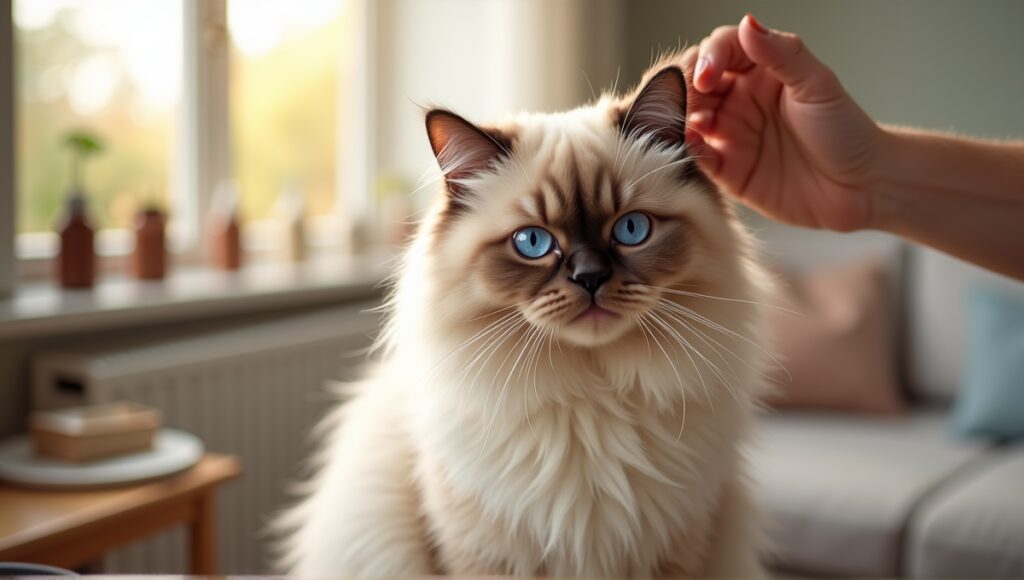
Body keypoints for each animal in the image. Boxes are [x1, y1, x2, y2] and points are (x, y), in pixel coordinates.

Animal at [276, 53, 770, 577]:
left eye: (632, 230)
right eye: (532, 242)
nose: (590, 277)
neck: (591, 403)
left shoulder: (678, 549)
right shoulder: (480, 556)